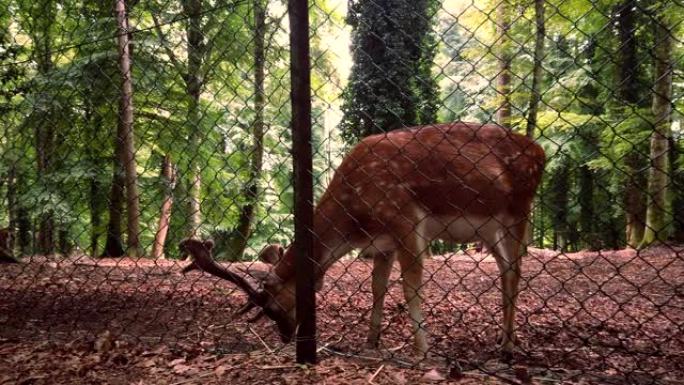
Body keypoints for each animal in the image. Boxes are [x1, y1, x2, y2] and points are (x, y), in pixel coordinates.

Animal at [178, 122, 544, 356]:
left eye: (271, 305)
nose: (284, 336)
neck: (354, 222)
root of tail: (540, 152)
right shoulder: (383, 243)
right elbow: (377, 287)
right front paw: (371, 341)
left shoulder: (405, 219)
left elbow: (411, 287)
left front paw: (422, 351)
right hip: (490, 229)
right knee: (506, 270)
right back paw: (504, 342)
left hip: (519, 211)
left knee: (515, 270)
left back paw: (507, 347)